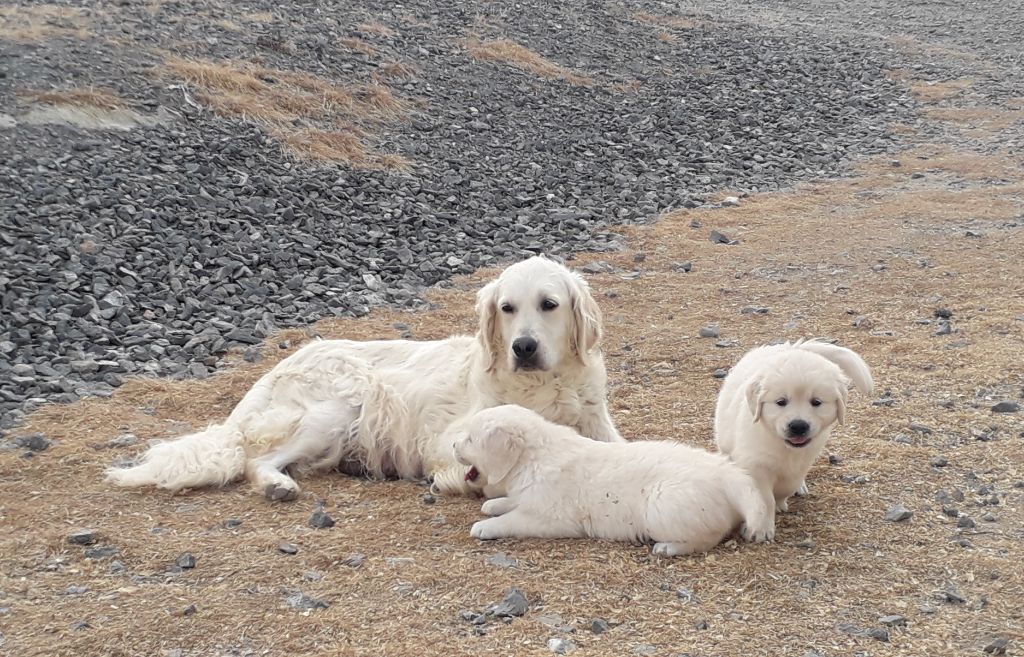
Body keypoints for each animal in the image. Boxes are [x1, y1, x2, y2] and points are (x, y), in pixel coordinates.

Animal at [452, 405, 770, 552]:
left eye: (470, 440)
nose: (453, 445)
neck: (533, 458)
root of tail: (725, 473)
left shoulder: (552, 518)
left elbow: (513, 519)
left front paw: (485, 526)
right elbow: (512, 503)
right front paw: (494, 505)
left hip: (661, 507)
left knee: (710, 536)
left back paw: (669, 547)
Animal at [716, 339, 876, 513]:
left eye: (816, 402)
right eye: (781, 402)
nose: (798, 426)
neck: (785, 447)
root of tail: (788, 347)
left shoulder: (801, 464)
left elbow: (786, 487)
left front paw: (780, 503)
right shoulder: (755, 464)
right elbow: (764, 498)